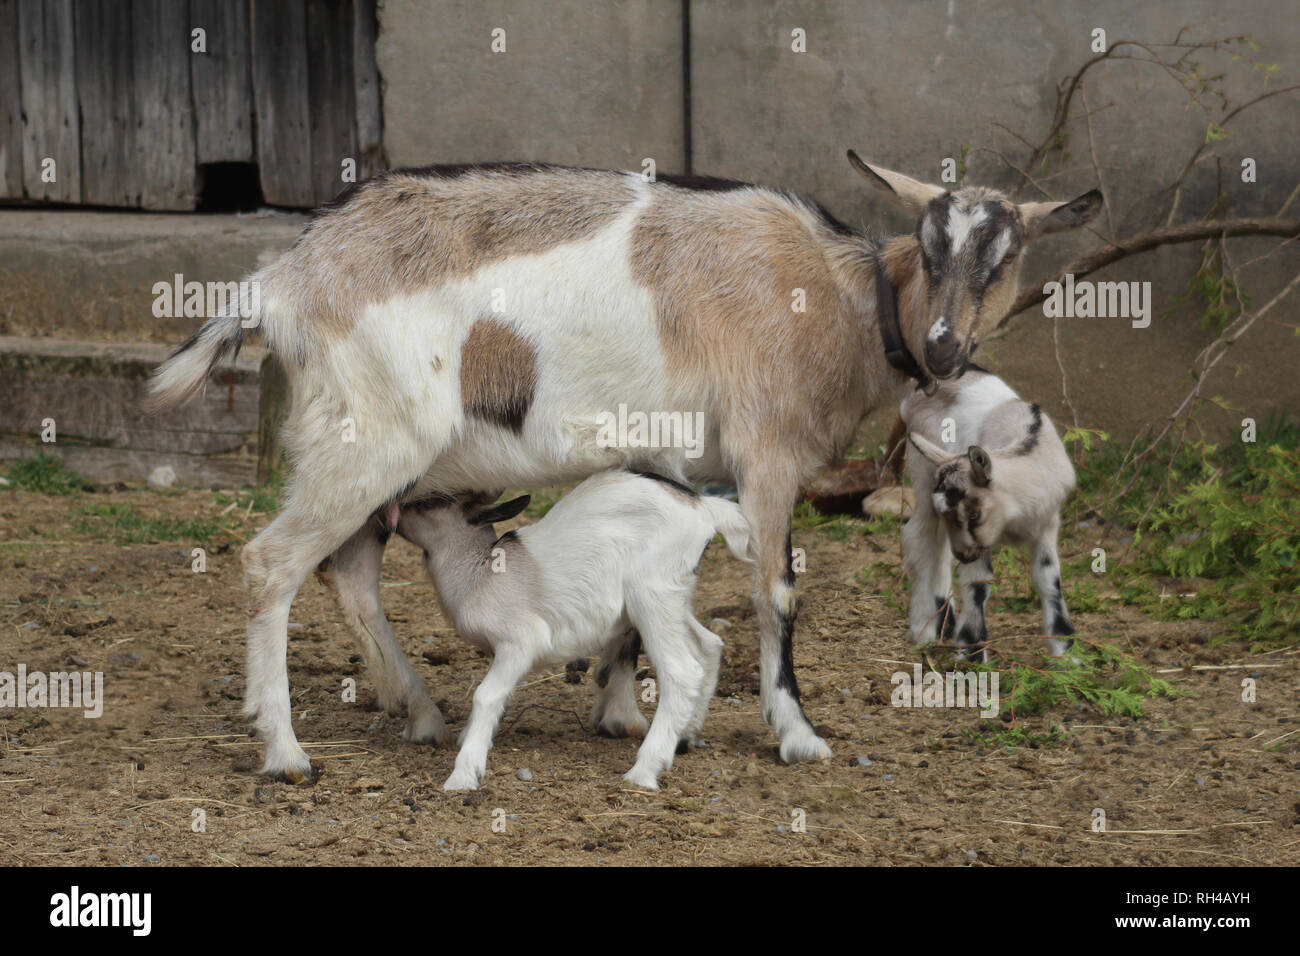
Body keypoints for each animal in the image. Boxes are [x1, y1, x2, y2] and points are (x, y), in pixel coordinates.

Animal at [393, 470, 751, 791]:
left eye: (429, 503)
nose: (392, 516)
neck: (480, 572)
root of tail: (704, 507)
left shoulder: (521, 640)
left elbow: (486, 695)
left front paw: (464, 774)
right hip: (676, 597)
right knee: (709, 644)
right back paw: (687, 734)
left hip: (651, 594)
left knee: (682, 670)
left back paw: (644, 771)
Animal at [902, 367, 1078, 661]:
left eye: (974, 515)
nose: (963, 555)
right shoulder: (977, 543)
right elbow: (978, 583)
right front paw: (972, 652)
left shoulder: (1047, 524)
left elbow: (1049, 580)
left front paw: (1065, 652)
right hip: (922, 473)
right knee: (923, 542)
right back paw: (925, 627)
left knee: (936, 550)